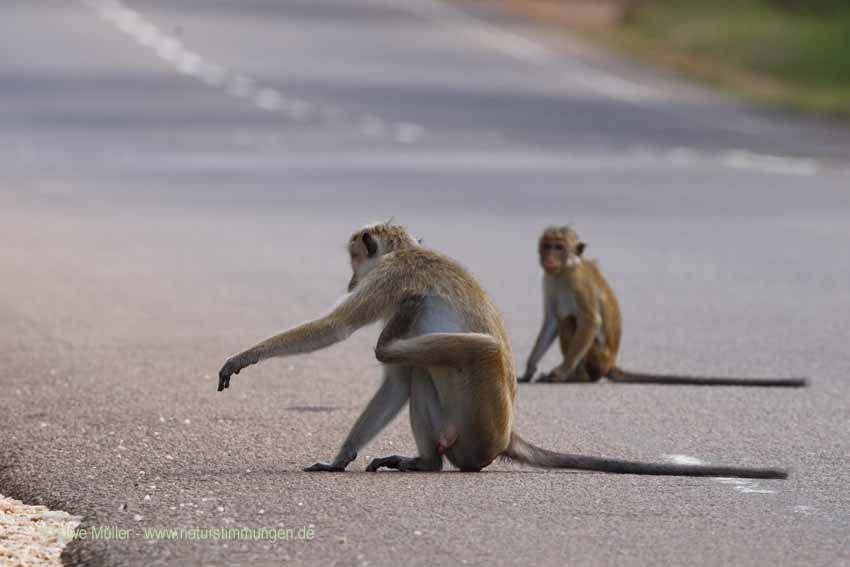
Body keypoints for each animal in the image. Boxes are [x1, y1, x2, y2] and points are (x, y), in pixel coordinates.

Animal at [520, 224, 804, 388]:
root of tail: (611, 363)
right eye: (547, 246)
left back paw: (580, 376)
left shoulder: (577, 281)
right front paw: (529, 368)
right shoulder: (549, 279)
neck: (565, 269)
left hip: (597, 358)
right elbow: (550, 322)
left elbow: (590, 322)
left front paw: (560, 373)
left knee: (572, 322)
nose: (549, 257)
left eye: (559, 247)